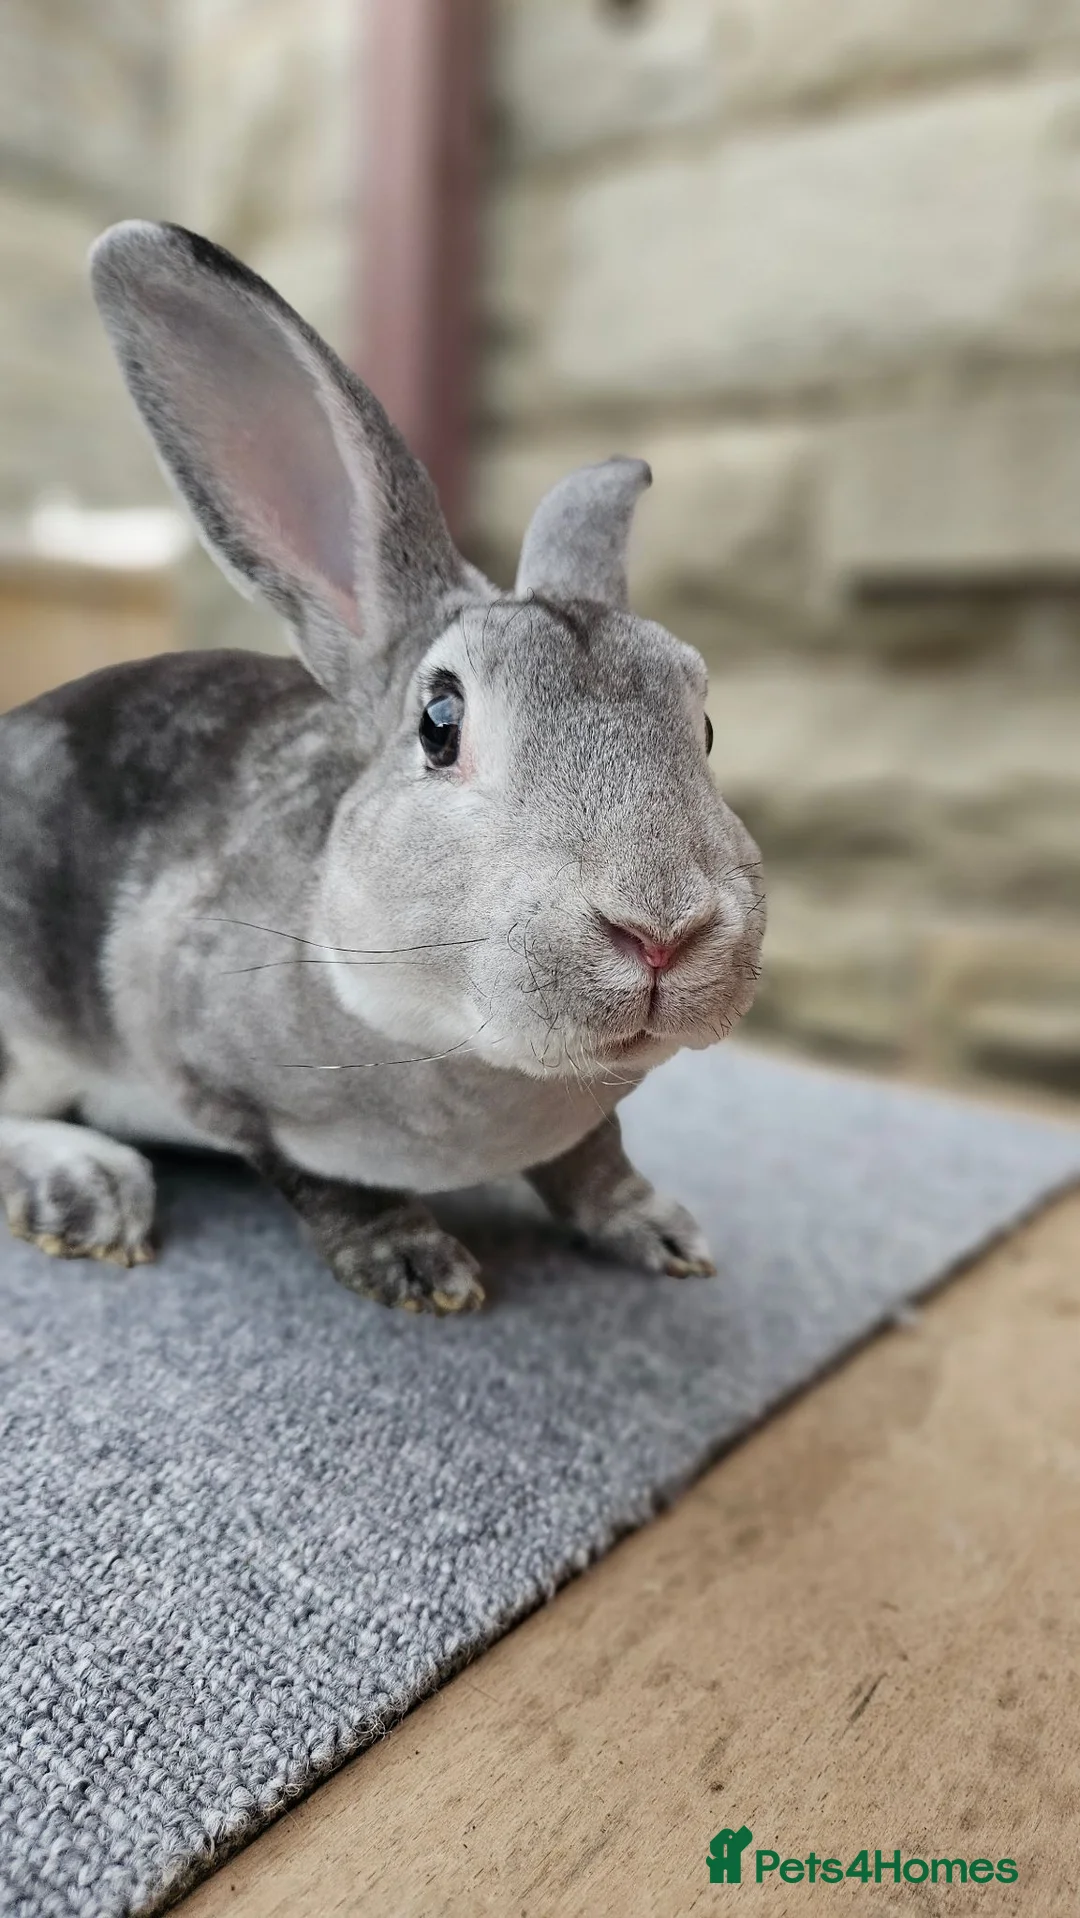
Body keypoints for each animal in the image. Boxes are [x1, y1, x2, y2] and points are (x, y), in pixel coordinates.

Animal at [0, 221, 765, 1315]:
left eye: (701, 725)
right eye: (440, 723)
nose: (662, 931)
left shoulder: (584, 1119)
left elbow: (593, 1158)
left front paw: (660, 1231)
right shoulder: (211, 1073)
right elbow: (320, 1181)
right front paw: (414, 1264)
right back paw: (88, 1187)